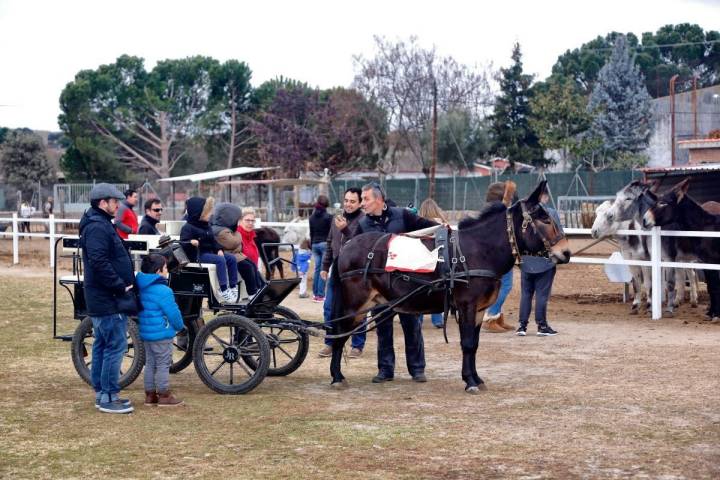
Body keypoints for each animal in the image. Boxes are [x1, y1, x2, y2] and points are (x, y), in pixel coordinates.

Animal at [330, 182, 572, 392]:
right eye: (545, 219)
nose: (566, 252)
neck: (478, 250)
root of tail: (347, 246)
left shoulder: (479, 310)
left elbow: (474, 345)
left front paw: (475, 378)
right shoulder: (466, 306)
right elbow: (467, 343)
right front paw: (470, 382)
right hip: (354, 306)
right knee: (340, 334)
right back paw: (337, 377)